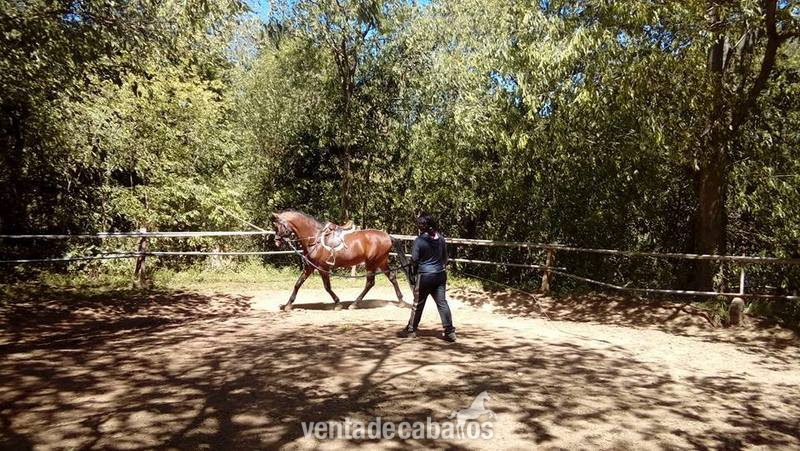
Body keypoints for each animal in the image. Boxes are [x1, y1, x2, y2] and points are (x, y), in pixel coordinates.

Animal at [271, 210, 406, 311]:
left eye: (278, 226)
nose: (276, 242)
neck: (315, 238)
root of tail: (388, 236)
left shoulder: (323, 268)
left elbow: (327, 287)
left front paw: (337, 304)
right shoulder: (310, 267)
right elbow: (298, 283)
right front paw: (288, 304)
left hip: (372, 263)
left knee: (370, 283)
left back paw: (354, 304)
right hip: (381, 262)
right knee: (392, 277)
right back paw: (401, 301)